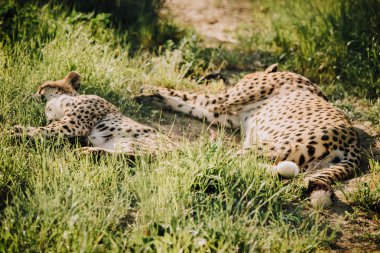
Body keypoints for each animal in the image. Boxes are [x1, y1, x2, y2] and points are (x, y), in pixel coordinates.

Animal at [11, 71, 166, 156]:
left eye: (43, 87)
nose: (32, 95)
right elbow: (48, 129)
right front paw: (20, 129)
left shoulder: (75, 122)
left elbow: (45, 129)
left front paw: (18, 133)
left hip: (135, 141)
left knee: (136, 158)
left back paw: (87, 152)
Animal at [135, 63, 360, 208]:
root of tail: (353, 142)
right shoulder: (226, 115)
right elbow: (188, 104)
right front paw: (155, 97)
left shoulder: (221, 101)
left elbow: (188, 95)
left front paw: (149, 88)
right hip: (299, 161)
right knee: (260, 170)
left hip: (272, 145)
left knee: (229, 163)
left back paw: (170, 164)